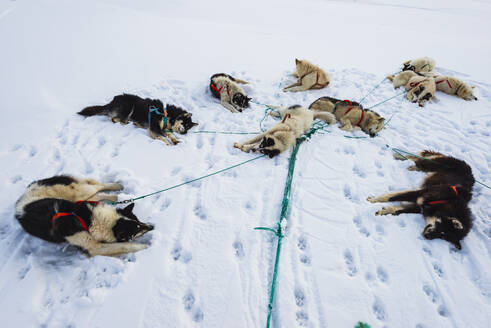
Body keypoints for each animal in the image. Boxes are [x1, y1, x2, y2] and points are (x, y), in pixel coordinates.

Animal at [15, 176, 154, 258]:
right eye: (137, 229)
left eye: (138, 220)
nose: (152, 226)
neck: (90, 219)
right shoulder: (93, 247)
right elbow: (124, 245)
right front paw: (144, 247)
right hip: (78, 194)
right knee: (97, 191)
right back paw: (116, 193)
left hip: (78, 193)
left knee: (97, 187)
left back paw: (117, 187)